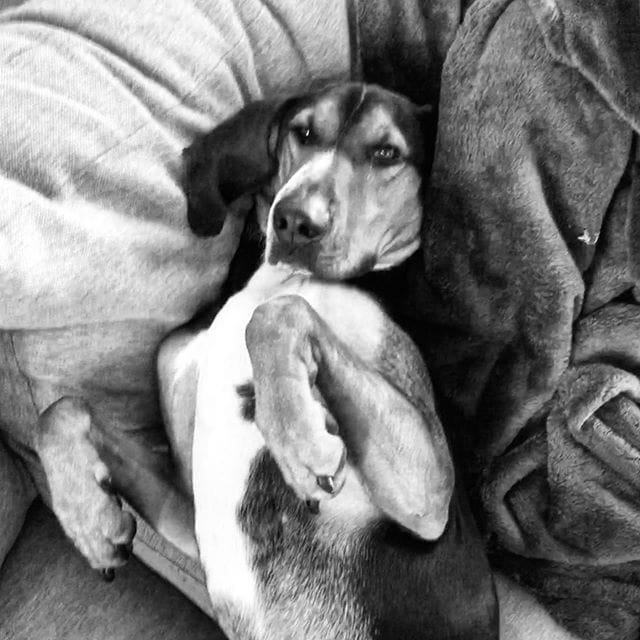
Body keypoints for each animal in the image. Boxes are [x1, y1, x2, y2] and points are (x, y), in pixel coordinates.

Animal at [157, 82, 499, 640]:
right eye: (304, 132)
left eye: (386, 153)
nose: (296, 221)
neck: (283, 277)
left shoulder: (429, 499)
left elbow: (278, 314)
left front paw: (299, 440)